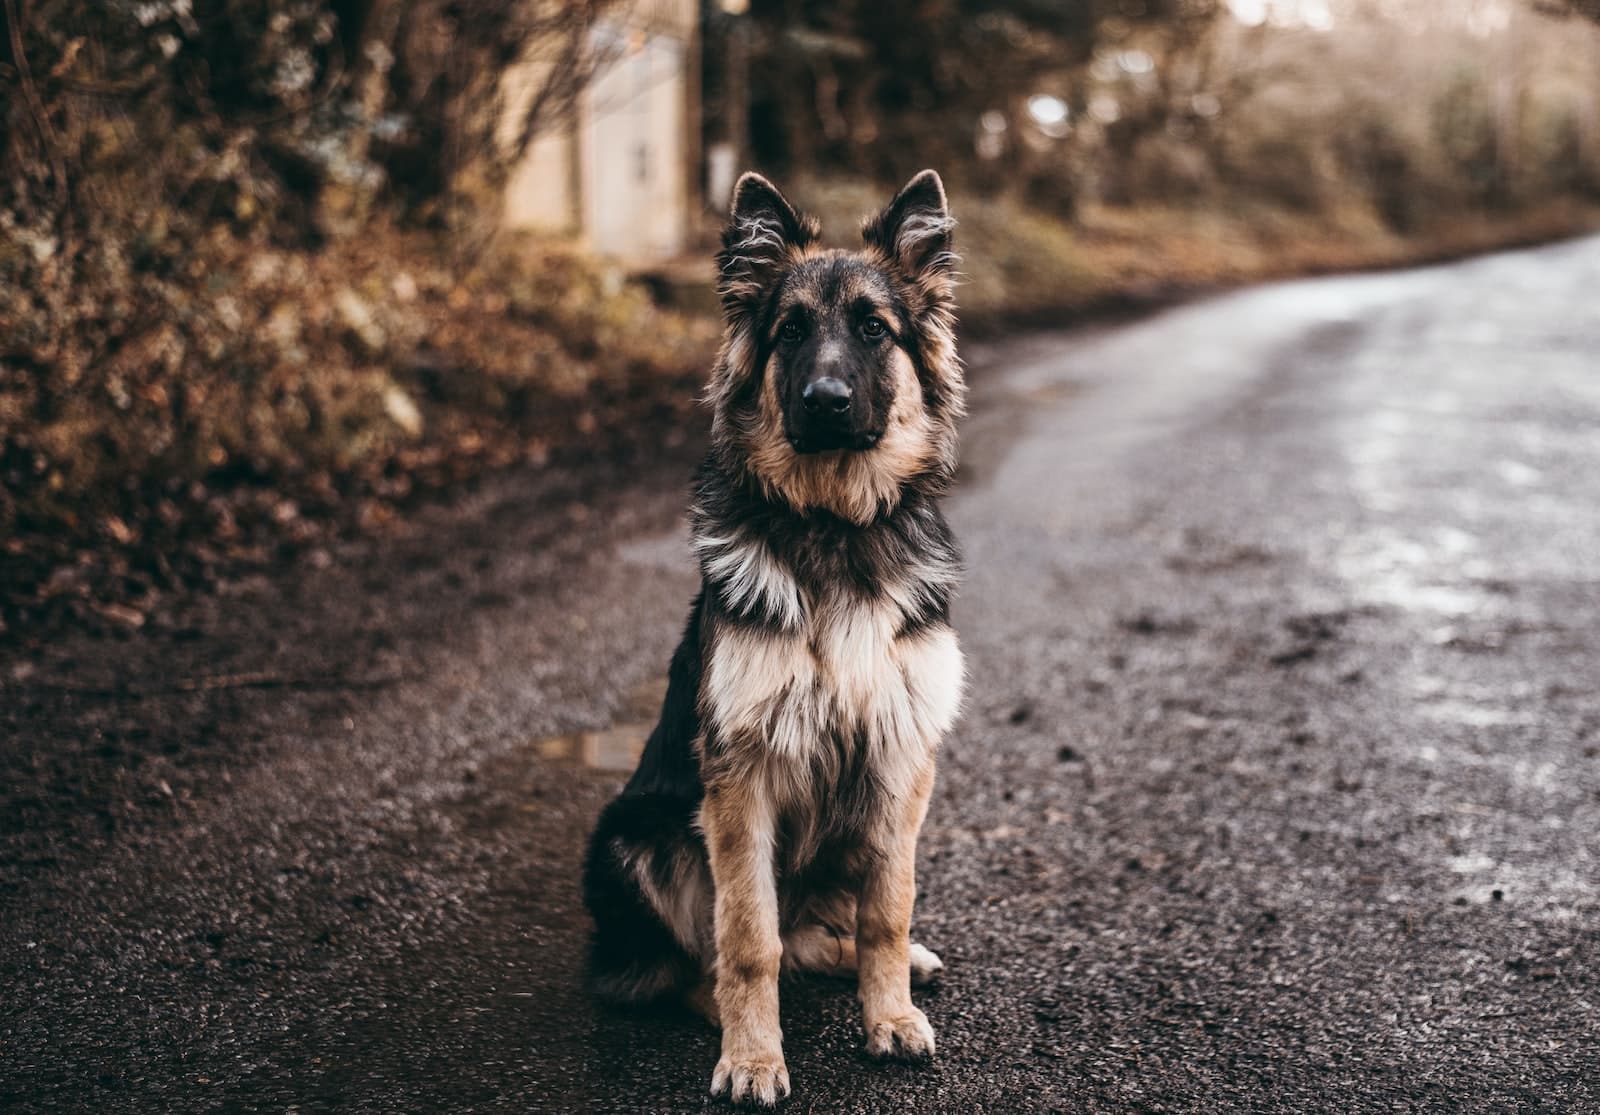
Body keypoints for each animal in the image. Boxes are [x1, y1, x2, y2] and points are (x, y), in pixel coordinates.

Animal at [585, 169, 960, 1100]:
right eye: (790, 331)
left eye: (873, 327)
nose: (825, 401)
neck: (833, 526)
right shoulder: (740, 779)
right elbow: (747, 937)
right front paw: (754, 1055)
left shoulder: (899, 756)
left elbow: (888, 911)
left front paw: (889, 1013)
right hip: (634, 837)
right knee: (701, 961)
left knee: (822, 934)